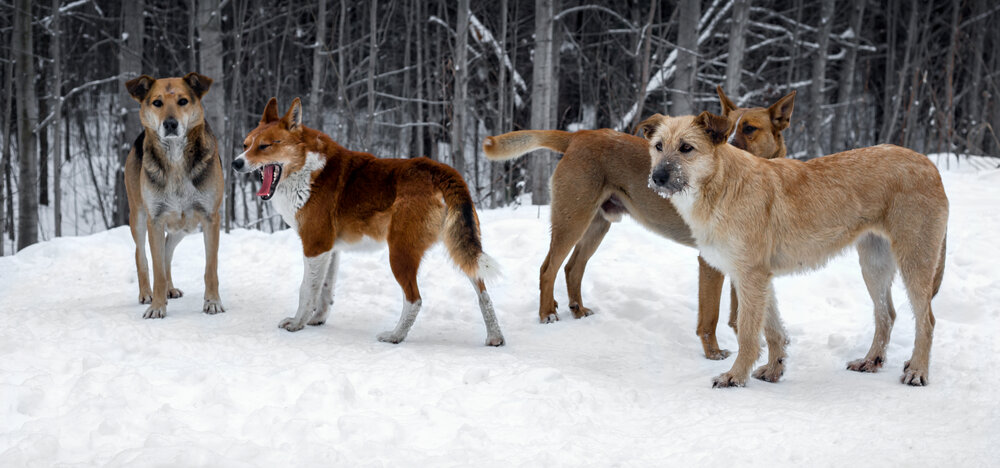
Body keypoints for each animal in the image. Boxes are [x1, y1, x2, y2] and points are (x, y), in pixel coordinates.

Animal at [124, 71, 226, 318]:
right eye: (157, 103)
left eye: (183, 101)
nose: (170, 123)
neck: (176, 157)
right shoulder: (155, 220)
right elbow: (157, 269)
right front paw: (156, 306)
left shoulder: (210, 218)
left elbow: (210, 267)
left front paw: (212, 302)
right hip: (138, 216)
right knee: (141, 255)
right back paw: (147, 293)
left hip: (183, 227)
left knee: (167, 251)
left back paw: (170, 289)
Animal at [231, 98, 504, 348]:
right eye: (245, 145)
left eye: (264, 146)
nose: (235, 163)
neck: (307, 169)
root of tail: (438, 170)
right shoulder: (331, 250)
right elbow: (324, 290)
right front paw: (317, 319)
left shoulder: (315, 246)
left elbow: (306, 290)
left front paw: (297, 323)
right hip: (462, 249)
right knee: (483, 292)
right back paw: (495, 337)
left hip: (400, 254)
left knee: (414, 299)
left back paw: (395, 336)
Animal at [480, 87, 792, 358]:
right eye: (729, 131)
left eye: (749, 129)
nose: (657, 177)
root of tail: (579, 135)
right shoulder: (709, 263)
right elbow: (711, 316)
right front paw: (713, 353)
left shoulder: (742, 260)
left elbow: (740, 311)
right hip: (573, 219)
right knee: (549, 268)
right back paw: (547, 313)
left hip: (597, 224)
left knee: (572, 268)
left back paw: (577, 309)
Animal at [644, 110, 948, 388]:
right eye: (658, 146)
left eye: (686, 148)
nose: (656, 178)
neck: (721, 184)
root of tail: (929, 164)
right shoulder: (758, 279)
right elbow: (773, 331)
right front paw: (773, 369)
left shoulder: (750, 276)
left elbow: (748, 334)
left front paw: (735, 376)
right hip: (874, 266)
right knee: (886, 315)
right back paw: (871, 361)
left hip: (914, 262)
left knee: (927, 321)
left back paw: (917, 370)